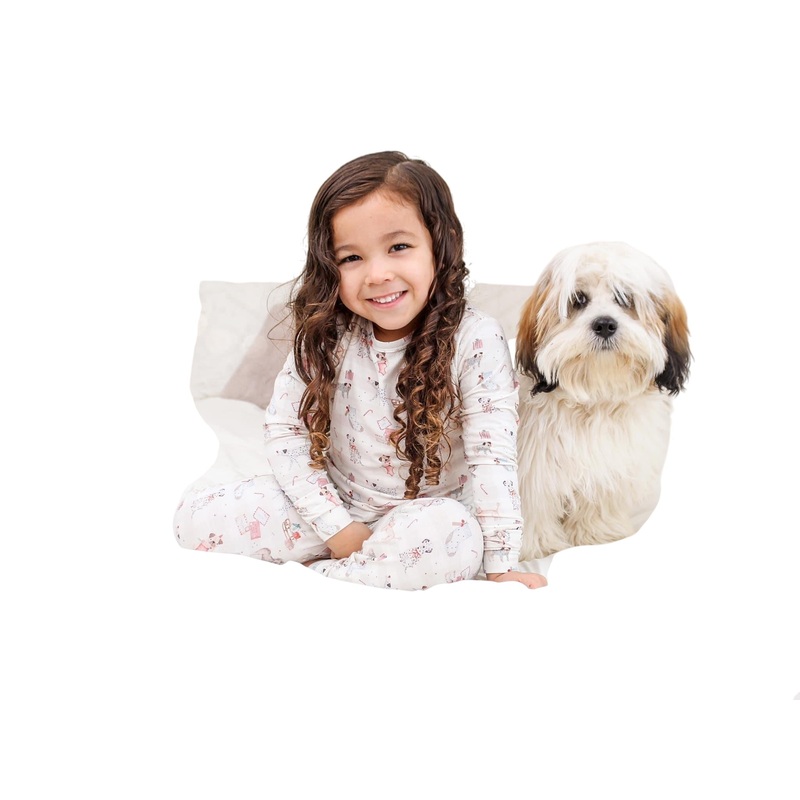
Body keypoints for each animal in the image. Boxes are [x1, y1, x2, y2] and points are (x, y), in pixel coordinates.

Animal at [514, 242, 691, 561]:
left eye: (625, 299)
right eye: (578, 300)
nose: (605, 324)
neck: (596, 396)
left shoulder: (610, 464)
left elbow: (598, 499)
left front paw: (595, 533)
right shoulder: (534, 467)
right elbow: (531, 506)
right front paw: (534, 547)